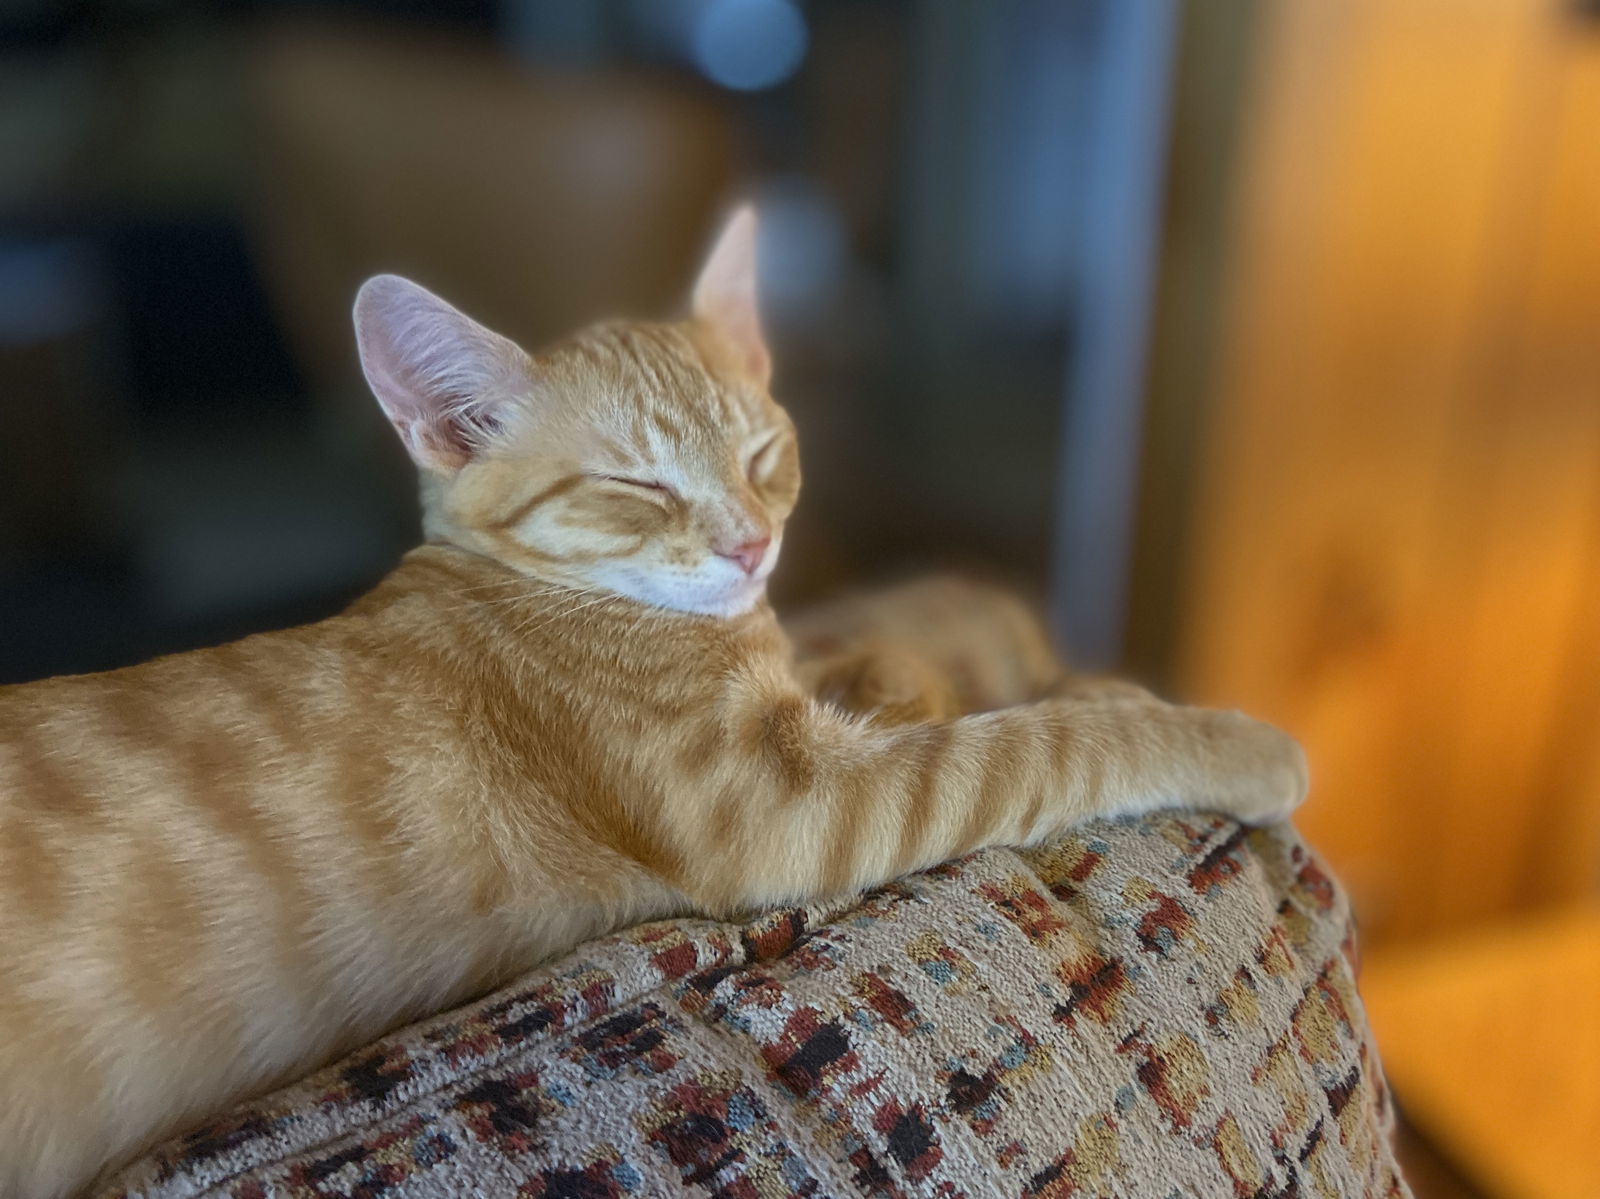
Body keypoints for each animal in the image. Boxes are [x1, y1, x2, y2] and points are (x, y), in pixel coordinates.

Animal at [0, 209, 1299, 1190]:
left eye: (764, 453)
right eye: (635, 487)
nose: (751, 543)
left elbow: (887, 661)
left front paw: (962, 658)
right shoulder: (792, 809)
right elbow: (1050, 739)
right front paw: (1229, 736)